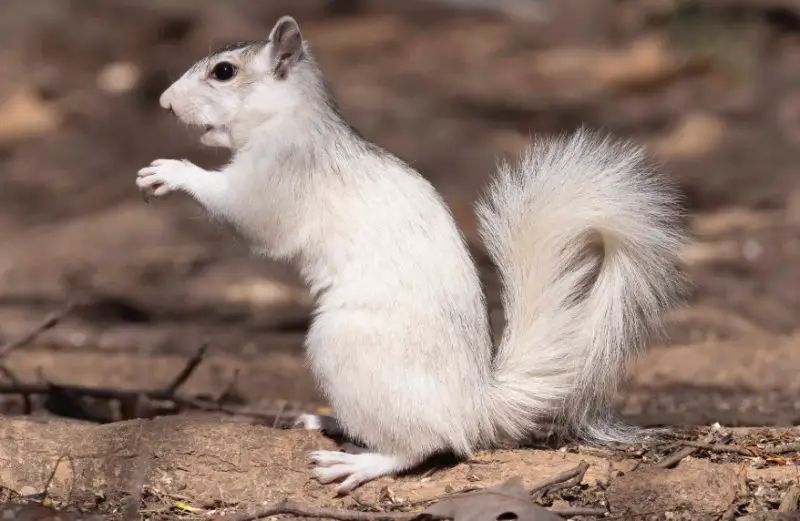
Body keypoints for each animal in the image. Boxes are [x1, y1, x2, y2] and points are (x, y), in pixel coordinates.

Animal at [137, 15, 687, 494]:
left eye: (224, 71)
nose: (164, 102)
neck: (292, 119)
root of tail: (472, 408)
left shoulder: (278, 176)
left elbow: (246, 212)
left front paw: (172, 171)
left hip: (347, 346)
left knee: (421, 444)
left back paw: (359, 462)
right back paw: (325, 420)